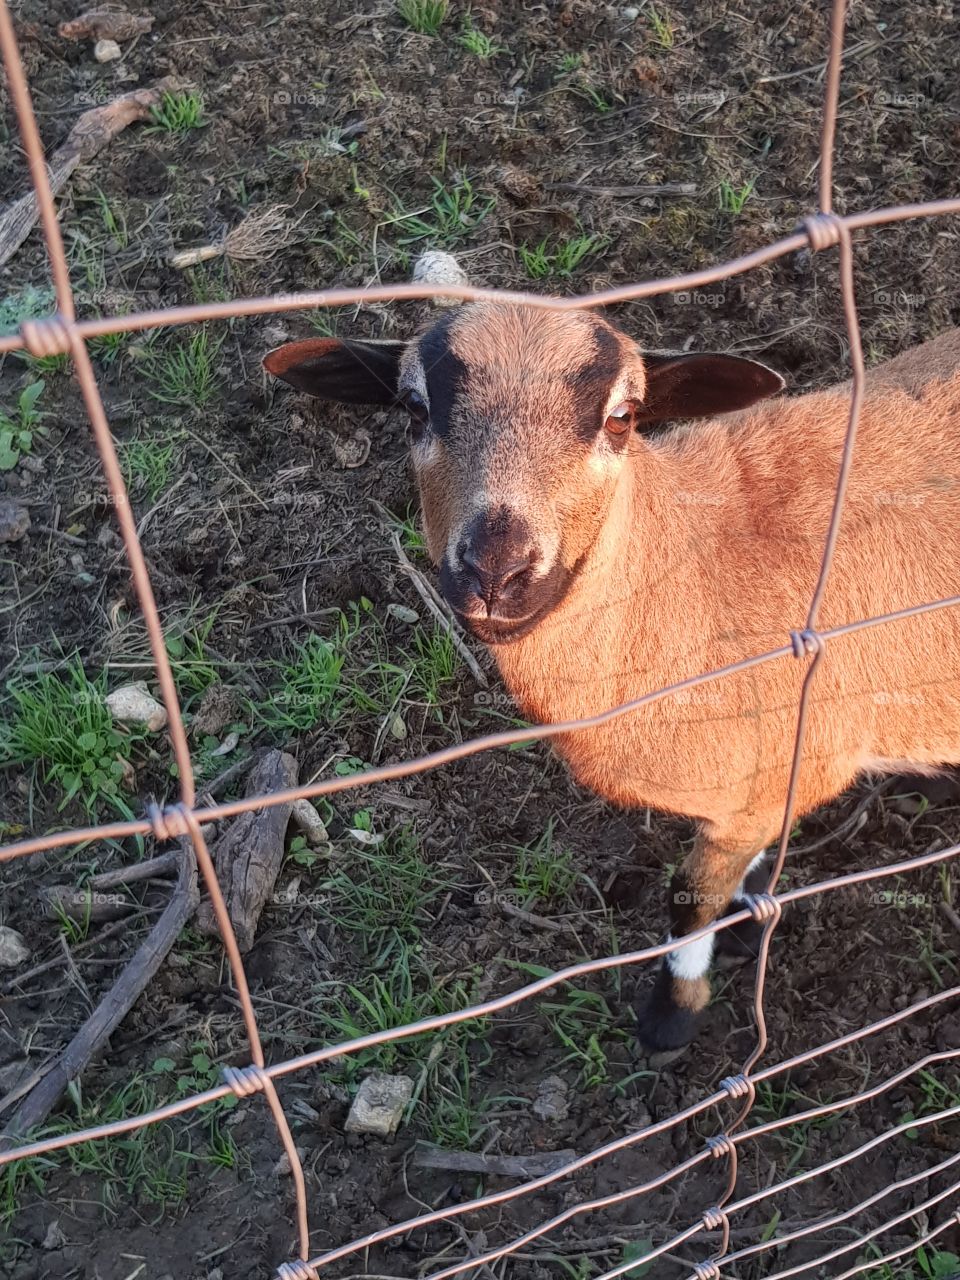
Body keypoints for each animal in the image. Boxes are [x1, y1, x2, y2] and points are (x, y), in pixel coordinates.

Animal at [263, 304, 960, 1051]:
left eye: (622, 418)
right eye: (414, 408)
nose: (497, 573)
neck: (695, 568)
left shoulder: (778, 774)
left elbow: (689, 901)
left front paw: (671, 1015)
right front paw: (747, 916)